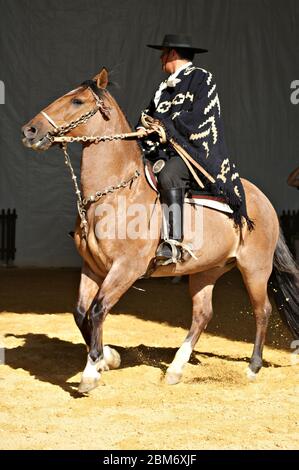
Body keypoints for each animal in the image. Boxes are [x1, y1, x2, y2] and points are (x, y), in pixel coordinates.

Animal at [21, 66, 299, 392]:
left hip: (255, 268)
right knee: (202, 314)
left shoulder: (125, 268)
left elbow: (99, 309)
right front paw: (108, 358)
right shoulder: (92, 267)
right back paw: (176, 369)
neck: (115, 194)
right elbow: (80, 313)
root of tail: (261, 199)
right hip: (206, 270)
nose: (30, 130)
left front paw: (92, 371)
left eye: (77, 101)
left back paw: (253, 368)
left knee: (262, 310)